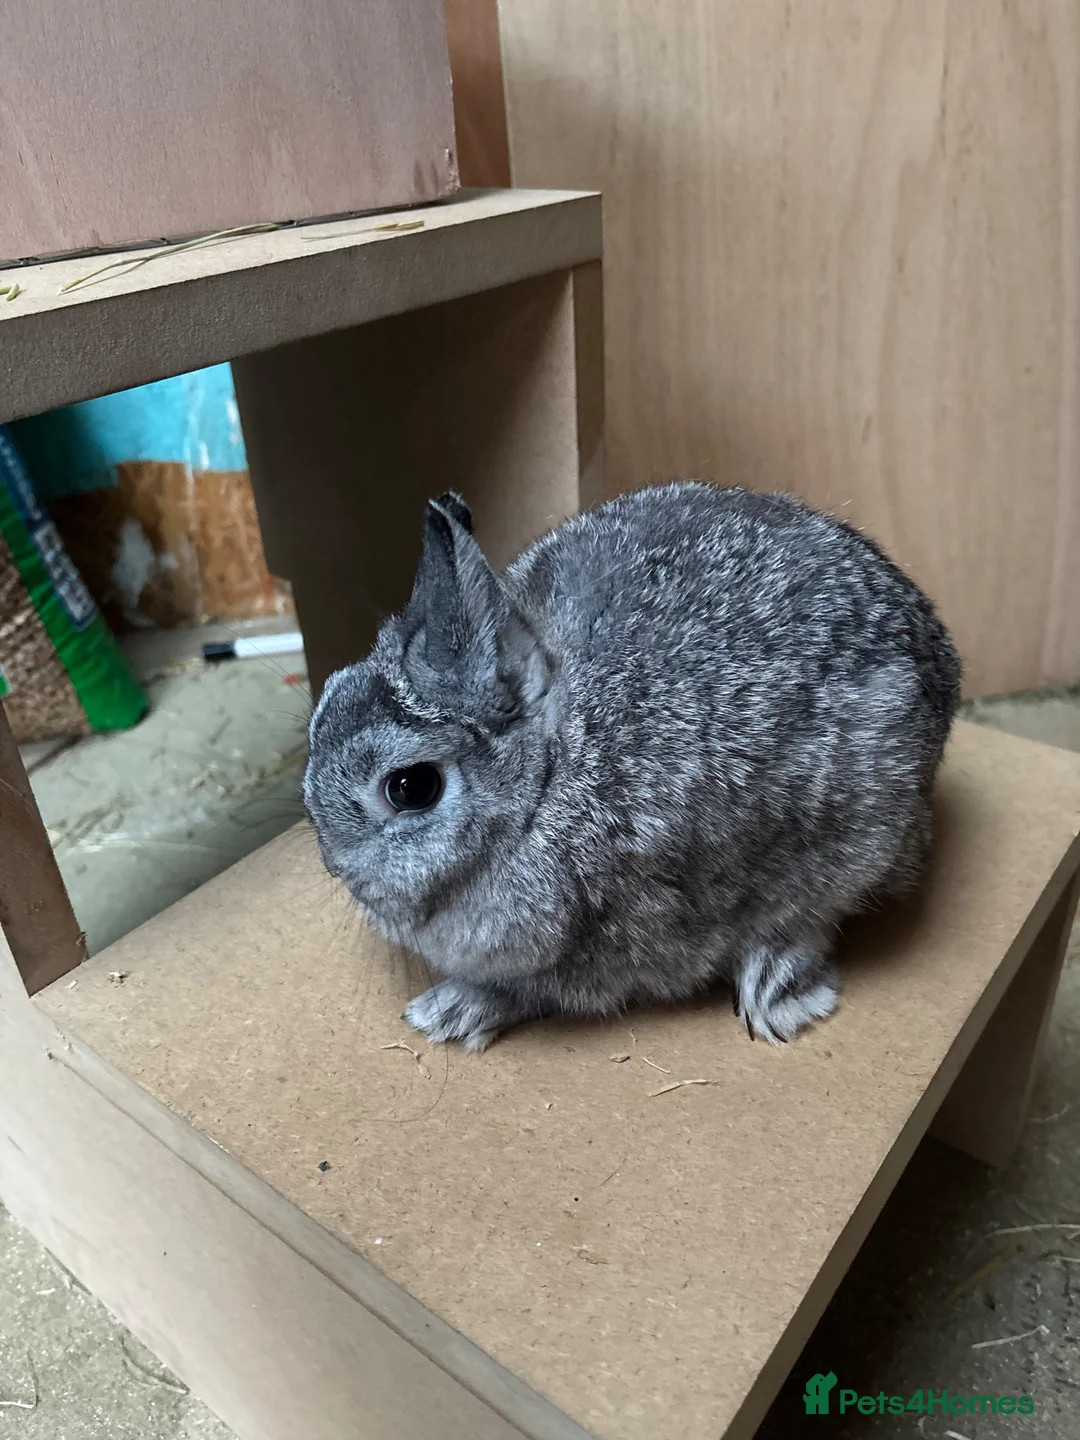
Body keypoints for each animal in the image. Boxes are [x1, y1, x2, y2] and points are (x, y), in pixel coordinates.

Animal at [303, 481, 961, 1051]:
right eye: (326, 699)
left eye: (411, 787)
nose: (337, 869)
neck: (548, 780)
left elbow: (534, 991)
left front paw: (448, 1011)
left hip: (864, 831)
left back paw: (774, 987)